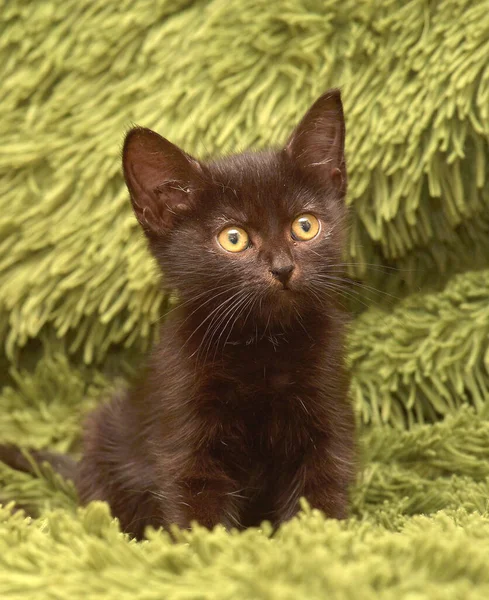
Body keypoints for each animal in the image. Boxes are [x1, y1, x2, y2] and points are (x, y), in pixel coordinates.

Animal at [1, 89, 356, 540]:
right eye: (233, 238)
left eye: (305, 226)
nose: (282, 267)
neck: (261, 347)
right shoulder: (186, 431)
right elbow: (197, 506)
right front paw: (209, 553)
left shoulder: (325, 417)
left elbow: (320, 495)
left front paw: (319, 543)